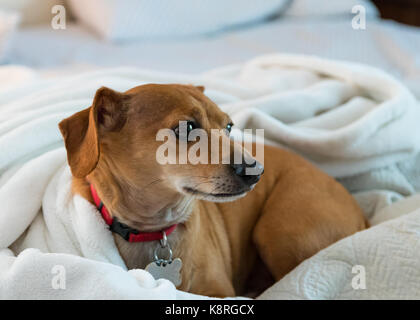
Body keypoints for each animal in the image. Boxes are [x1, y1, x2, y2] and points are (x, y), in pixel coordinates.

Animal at [57, 83, 366, 298]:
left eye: (229, 126)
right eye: (186, 128)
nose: (256, 171)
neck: (155, 231)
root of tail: (362, 215)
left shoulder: (219, 291)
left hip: (278, 230)